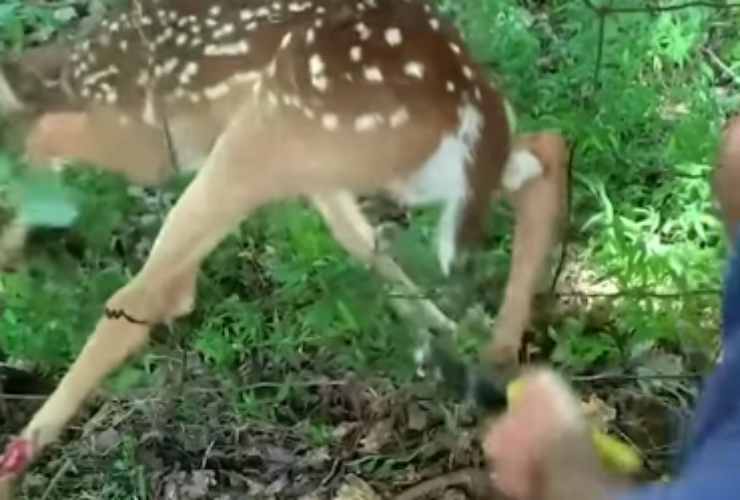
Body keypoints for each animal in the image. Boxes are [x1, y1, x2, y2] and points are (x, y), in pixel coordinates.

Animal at [0, 0, 568, 492]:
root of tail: (468, 98)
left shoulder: (144, 138)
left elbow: (44, 140)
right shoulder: (318, 174)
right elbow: (358, 237)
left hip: (271, 134)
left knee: (144, 296)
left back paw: (19, 454)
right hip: (387, 162)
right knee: (546, 151)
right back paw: (497, 354)